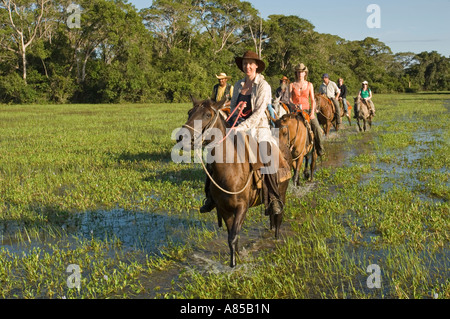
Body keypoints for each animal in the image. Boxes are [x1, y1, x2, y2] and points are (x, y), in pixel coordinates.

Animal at [178, 97, 290, 268]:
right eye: (189, 112)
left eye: (207, 114)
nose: (181, 136)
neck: (230, 170)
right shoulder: (224, 208)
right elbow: (232, 236)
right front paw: (235, 259)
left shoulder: (242, 207)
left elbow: (233, 236)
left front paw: (233, 265)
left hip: (282, 192)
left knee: (278, 217)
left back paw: (276, 238)